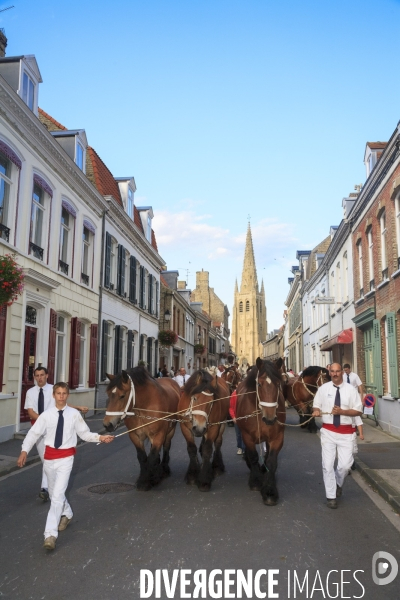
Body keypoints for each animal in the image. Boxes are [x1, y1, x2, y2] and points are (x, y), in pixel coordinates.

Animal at [236, 358, 286, 504]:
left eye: (278, 383)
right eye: (259, 383)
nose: (270, 418)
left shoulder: (277, 437)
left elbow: (272, 461)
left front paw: (270, 490)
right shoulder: (247, 436)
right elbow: (253, 456)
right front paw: (255, 481)